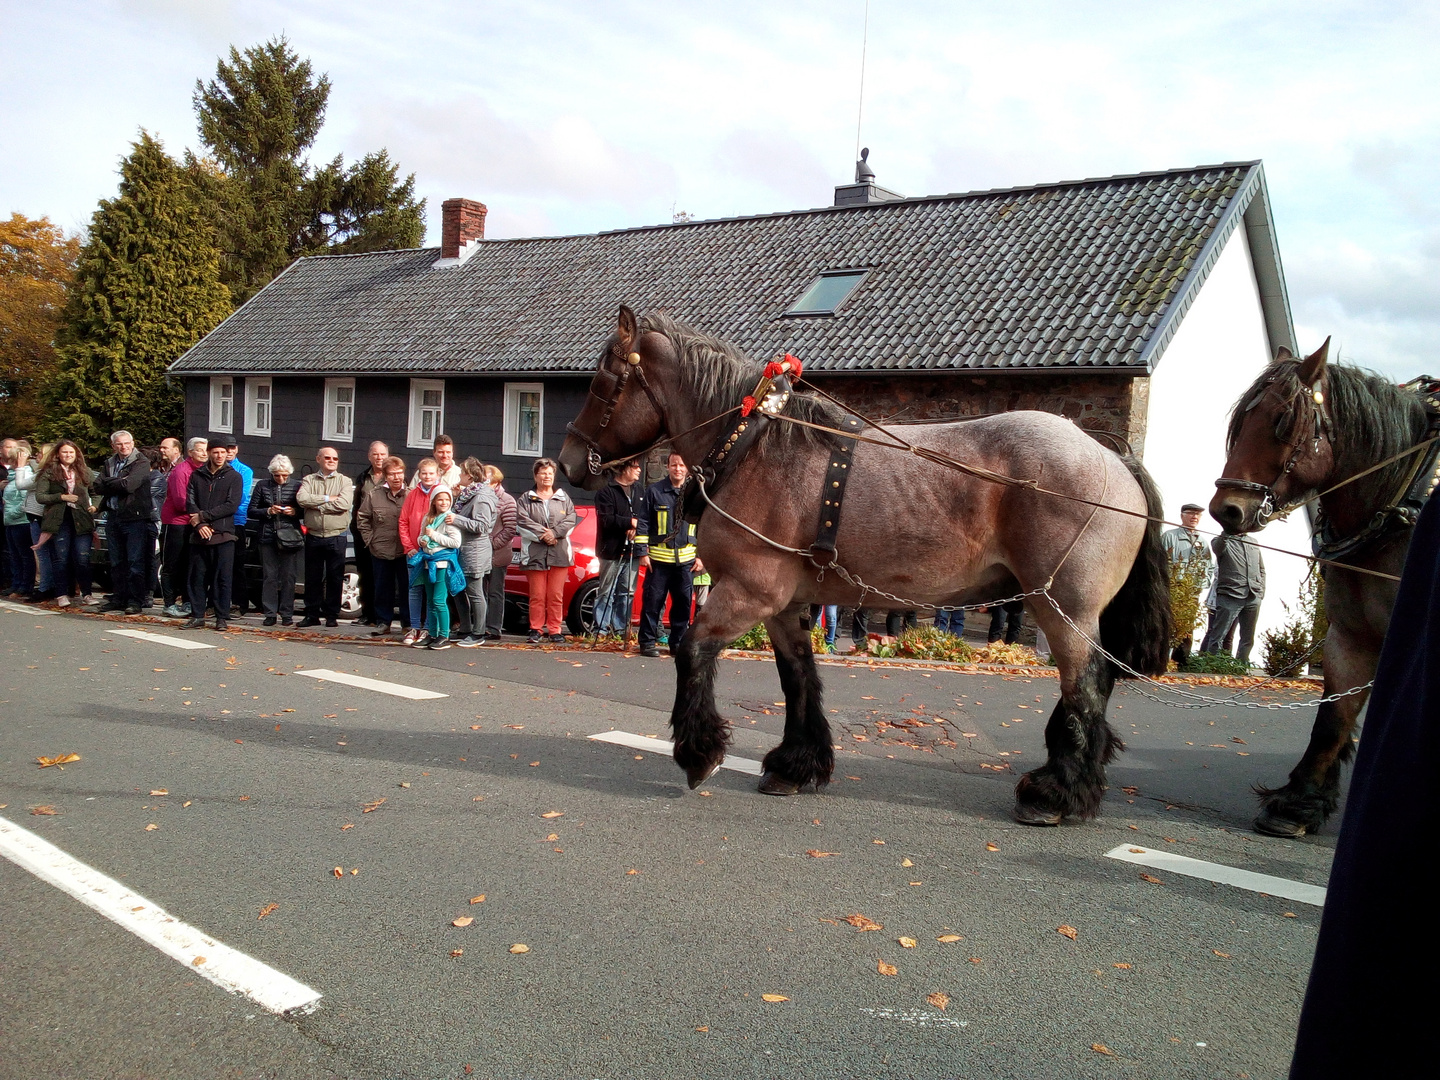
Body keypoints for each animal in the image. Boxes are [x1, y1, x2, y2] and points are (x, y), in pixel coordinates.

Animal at [555, 308, 1175, 823]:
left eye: (603, 379)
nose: (567, 462)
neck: (755, 446)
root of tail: (1112, 458)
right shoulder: (785, 605)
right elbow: (798, 678)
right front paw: (796, 765)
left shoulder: (748, 591)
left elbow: (692, 650)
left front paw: (699, 752)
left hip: (1062, 608)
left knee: (1086, 686)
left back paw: (1057, 793)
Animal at [1209, 338, 1434, 835]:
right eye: (1239, 424)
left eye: (1282, 421)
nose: (1226, 510)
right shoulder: (1351, 636)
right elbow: (1333, 719)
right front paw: (1298, 803)